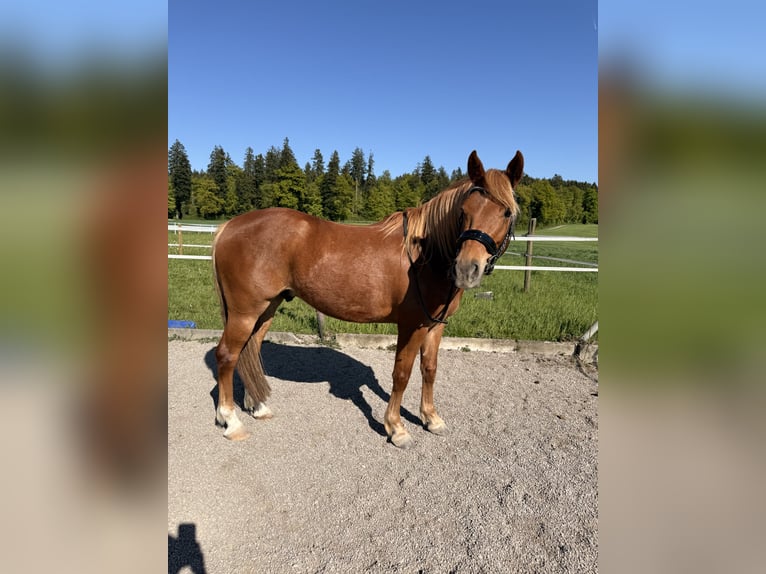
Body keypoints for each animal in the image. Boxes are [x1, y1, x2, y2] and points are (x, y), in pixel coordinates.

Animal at [212, 150, 523, 447]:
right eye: (463, 211)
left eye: (507, 213)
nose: (467, 269)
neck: (426, 256)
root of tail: (230, 225)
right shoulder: (412, 326)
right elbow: (402, 374)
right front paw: (396, 428)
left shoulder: (435, 326)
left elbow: (429, 369)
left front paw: (431, 419)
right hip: (244, 313)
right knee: (227, 355)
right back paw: (231, 421)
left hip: (267, 309)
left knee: (250, 349)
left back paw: (257, 407)